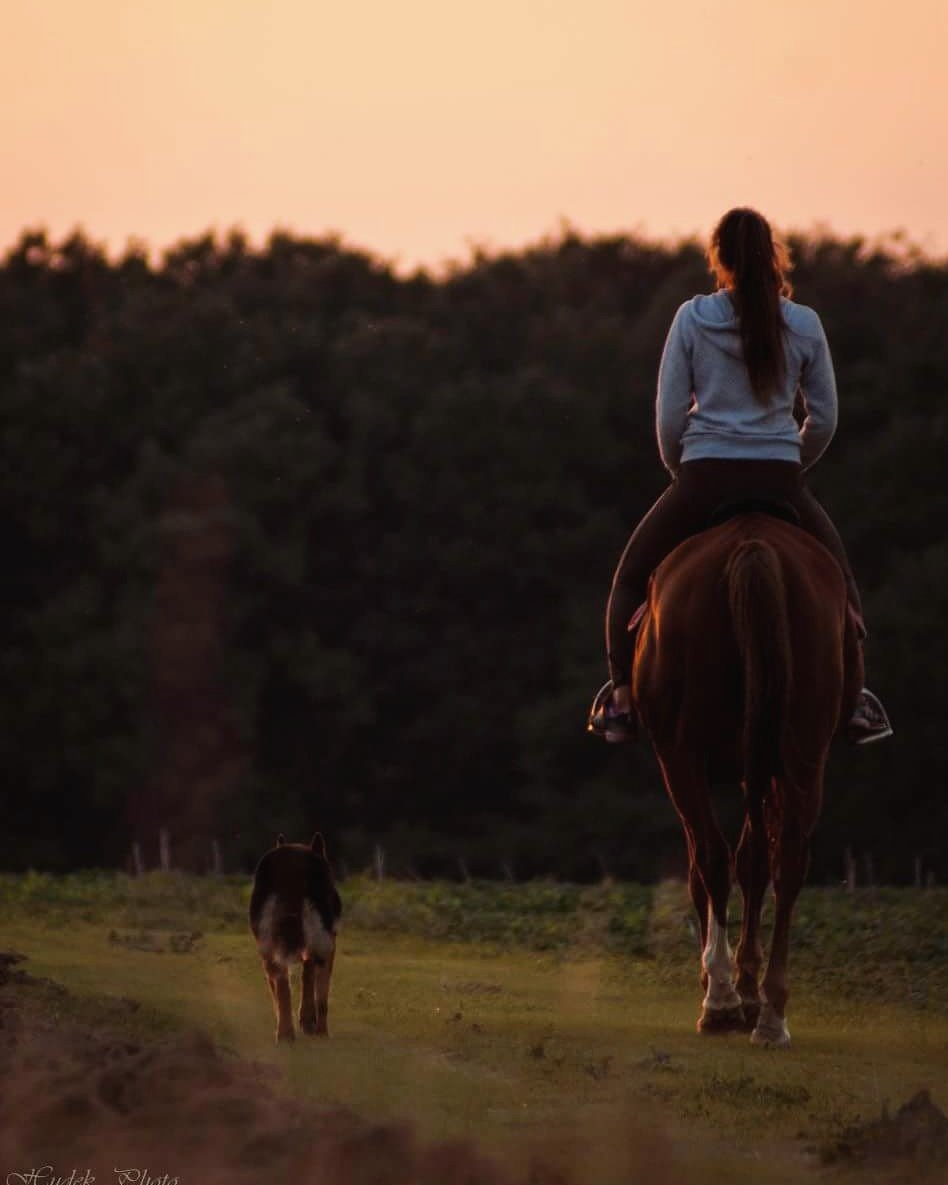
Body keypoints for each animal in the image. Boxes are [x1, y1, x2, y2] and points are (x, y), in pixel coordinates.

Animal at [635, 509, 862, 1047]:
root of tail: (753, 545)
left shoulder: (681, 760)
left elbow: (707, 866)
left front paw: (728, 987)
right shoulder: (767, 767)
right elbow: (756, 860)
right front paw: (749, 988)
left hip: (682, 755)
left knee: (713, 858)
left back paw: (719, 1001)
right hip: (803, 752)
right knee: (787, 860)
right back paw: (772, 1014)